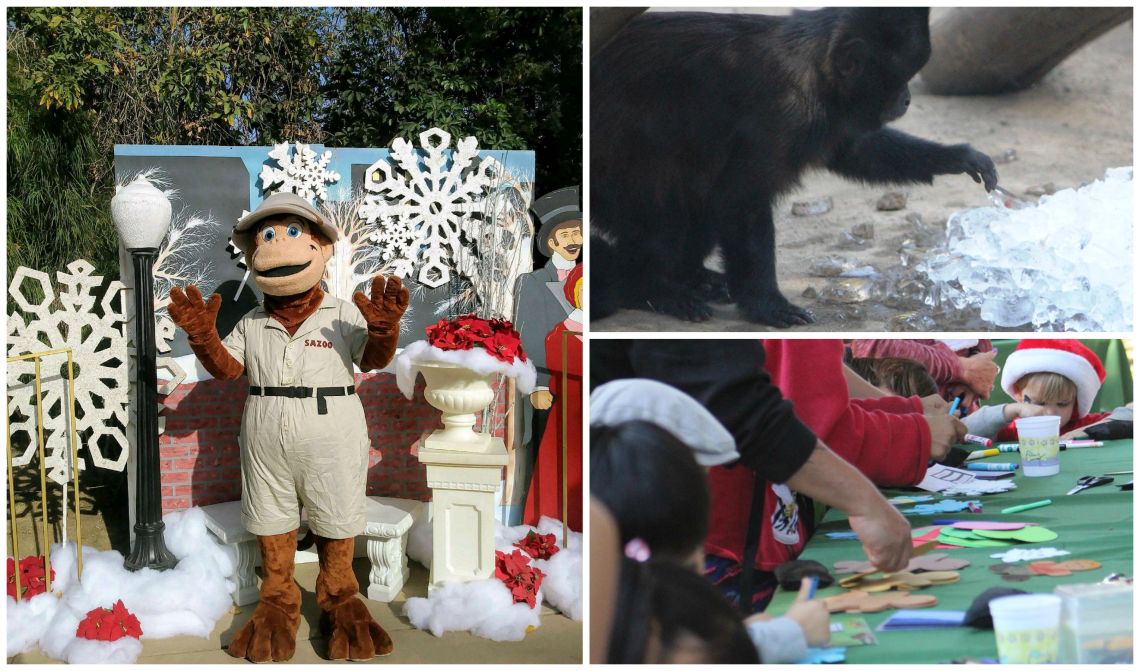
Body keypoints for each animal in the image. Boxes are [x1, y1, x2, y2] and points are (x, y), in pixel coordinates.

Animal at [592, 7, 1003, 328]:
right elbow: (739, 199)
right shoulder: (785, 109)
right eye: (897, 80)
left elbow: (854, 152)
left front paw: (958, 157)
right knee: (667, 209)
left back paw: (691, 278)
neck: (816, 69)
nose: (906, 98)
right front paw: (767, 306)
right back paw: (650, 289)